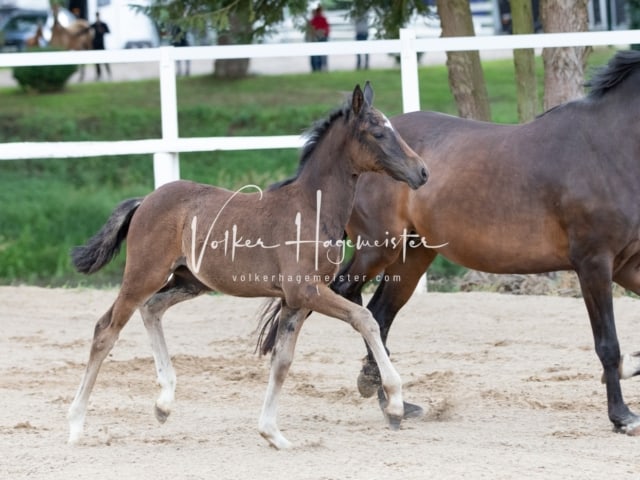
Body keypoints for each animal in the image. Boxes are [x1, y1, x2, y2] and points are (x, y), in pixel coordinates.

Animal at [69, 82, 430, 450]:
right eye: (378, 132)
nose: (422, 172)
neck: (311, 210)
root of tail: (145, 201)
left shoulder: (294, 301)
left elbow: (282, 361)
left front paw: (273, 433)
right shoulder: (307, 291)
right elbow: (365, 318)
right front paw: (396, 404)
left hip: (190, 281)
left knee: (152, 309)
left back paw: (164, 403)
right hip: (144, 274)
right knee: (106, 330)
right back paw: (76, 425)